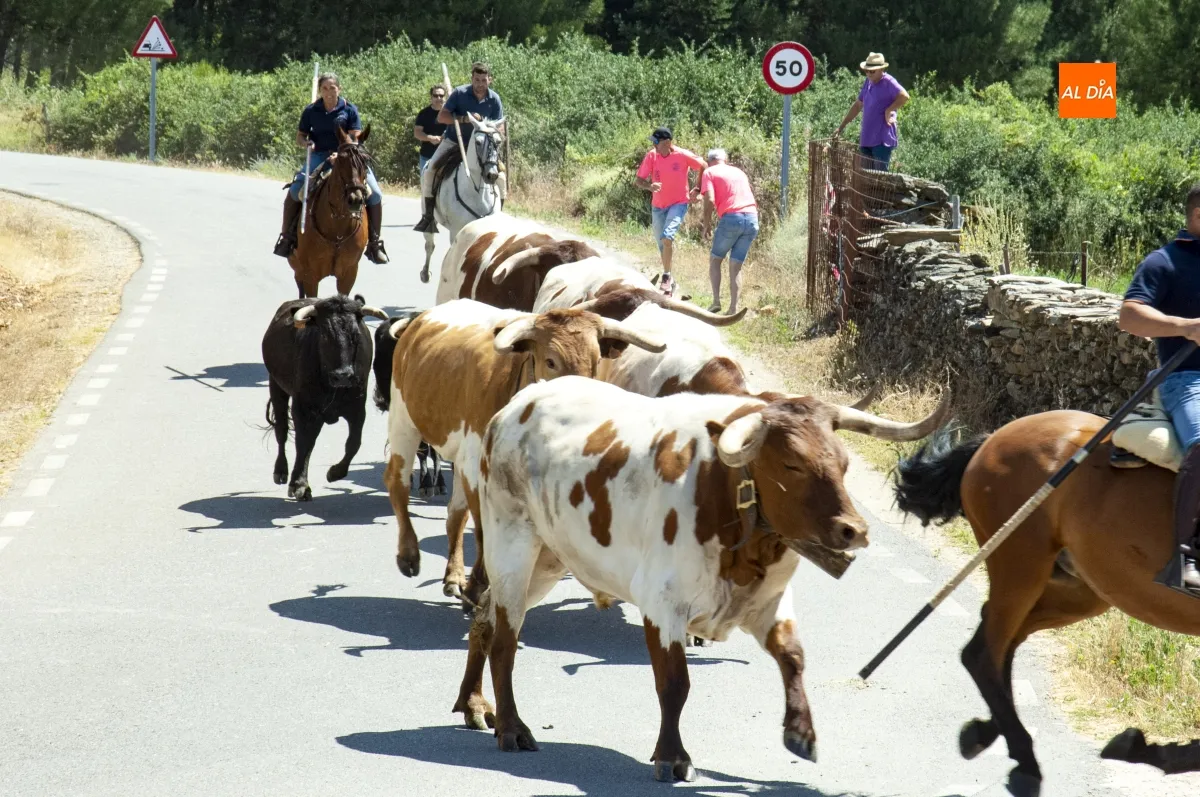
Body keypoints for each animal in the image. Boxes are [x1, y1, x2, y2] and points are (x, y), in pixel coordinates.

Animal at [289, 125, 374, 299]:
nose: (355, 199)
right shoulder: (310, 274)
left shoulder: (349, 273)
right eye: (340, 159)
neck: (337, 227)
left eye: (366, 161)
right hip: (298, 268)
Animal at [892, 409, 1200, 796]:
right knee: (983, 653)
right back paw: (1024, 758)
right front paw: (1143, 748)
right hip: (1022, 563)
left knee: (1002, 642)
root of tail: (995, 437)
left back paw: (988, 731)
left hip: (1083, 591)